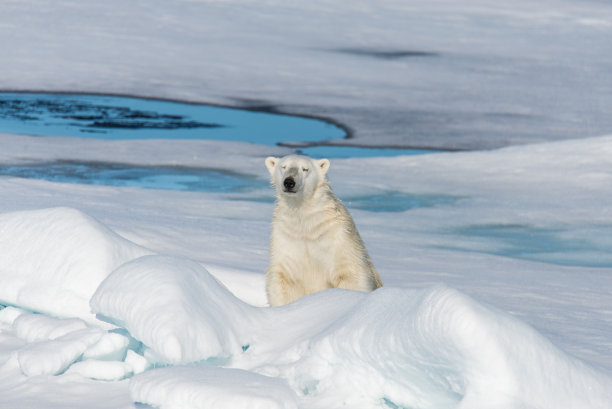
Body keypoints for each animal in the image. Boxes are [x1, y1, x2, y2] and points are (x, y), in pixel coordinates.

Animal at [264, 155, 382, 304]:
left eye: (305, 169)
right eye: (283, 167)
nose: (289, 182)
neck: (306, 225)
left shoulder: (338, 237)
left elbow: (349, 273)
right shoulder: (286, 238)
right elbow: (283, 279)